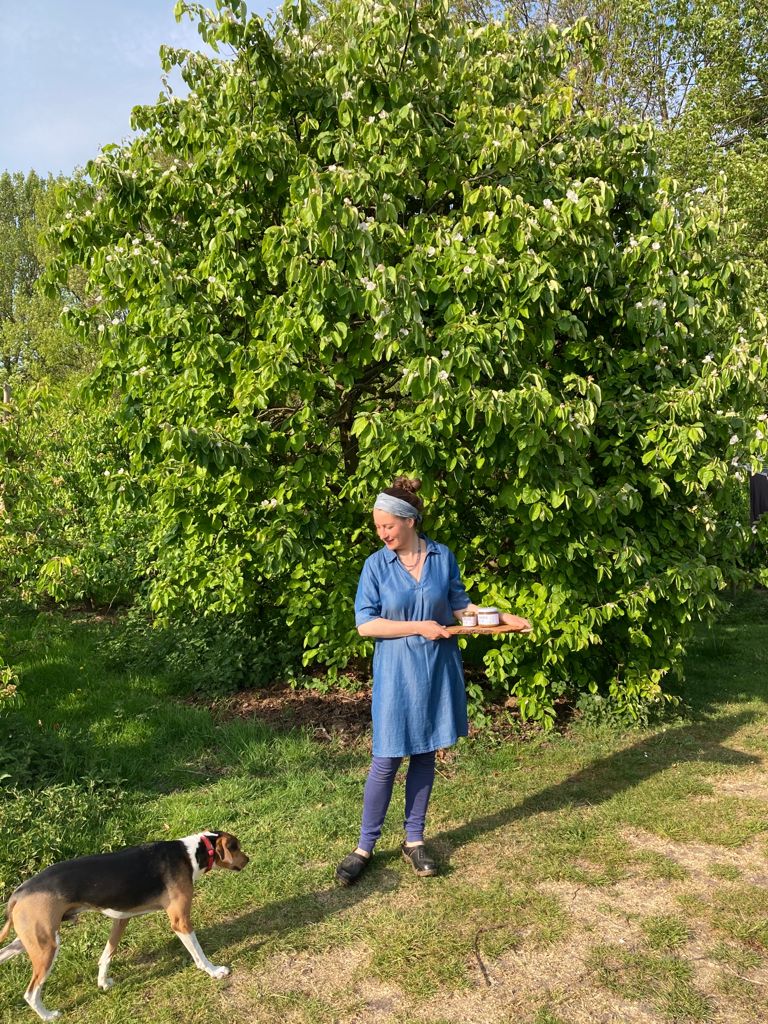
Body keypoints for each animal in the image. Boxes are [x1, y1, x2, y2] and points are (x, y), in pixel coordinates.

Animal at [0, 827, 247, 1019]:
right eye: (235, 847)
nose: (248, 859)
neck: (190, 853)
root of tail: (18, 893)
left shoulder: (121, 919)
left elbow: (106, 955)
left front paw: (103, 982)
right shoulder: (180, 922)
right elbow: (199, 954)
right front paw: (214, 971)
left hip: (28, 943)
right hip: (47, 947)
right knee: (31, 993)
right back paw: (48, 1016)